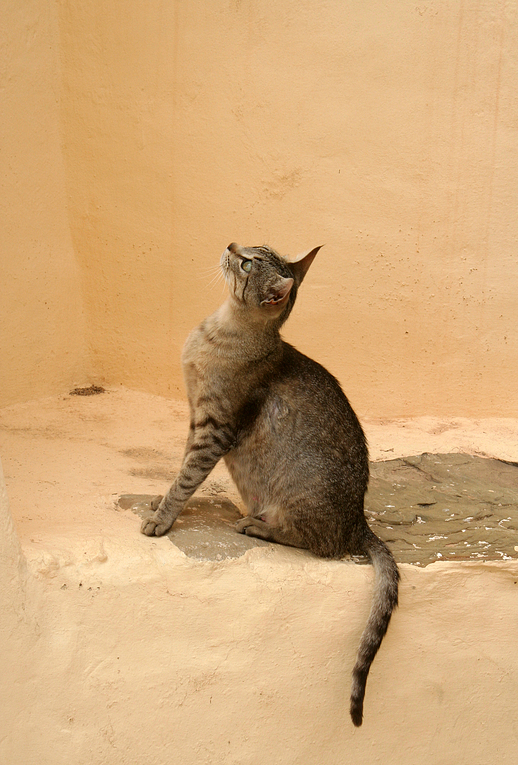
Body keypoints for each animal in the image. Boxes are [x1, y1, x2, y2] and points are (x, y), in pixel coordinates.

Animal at [142, 242, 402, 724]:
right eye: (252, 247)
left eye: (247, 263)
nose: (230, 245)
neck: (215, 330)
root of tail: (358, 519)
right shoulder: (195, 418)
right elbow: (180, 470)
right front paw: (158, 502)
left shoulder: (214, 428)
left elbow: (187, 476)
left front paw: (162, 519)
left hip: (300, 505)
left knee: (321, 545)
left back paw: (257, 525)